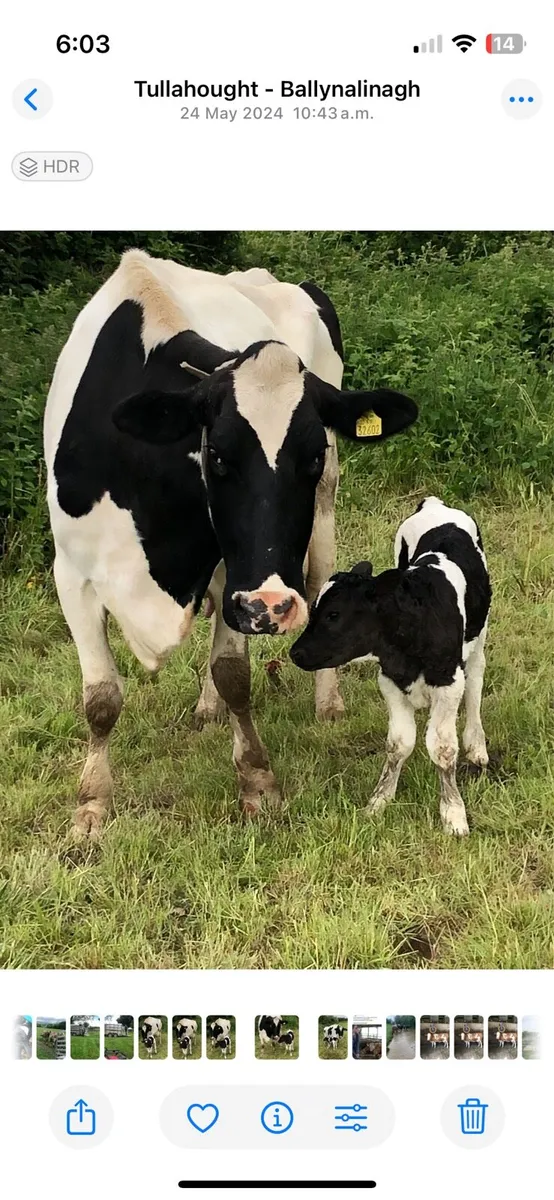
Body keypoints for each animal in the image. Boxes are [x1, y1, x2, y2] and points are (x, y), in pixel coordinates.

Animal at [44, 249, 418, 837]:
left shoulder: (235, 570)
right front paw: (92, 804)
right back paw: (206, 708)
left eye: (311, 455)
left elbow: (234, 674)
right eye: (216, 455)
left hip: (325, 506)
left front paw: (258, 782)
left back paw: (326, 700)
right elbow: (101, 696)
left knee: (319, 578)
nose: (272, 605)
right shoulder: (72, 572)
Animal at [291, 497, 491, 836]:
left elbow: (442, 748)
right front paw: (379, 802)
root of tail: (435, 504)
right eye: (314, 608)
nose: (296, 652)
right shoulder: (390, 680)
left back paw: (477, 745)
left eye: (333, 614)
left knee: (476, 681)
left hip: (479, 637)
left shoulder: (449, 682)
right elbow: (398, 744)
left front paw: (453, 814)